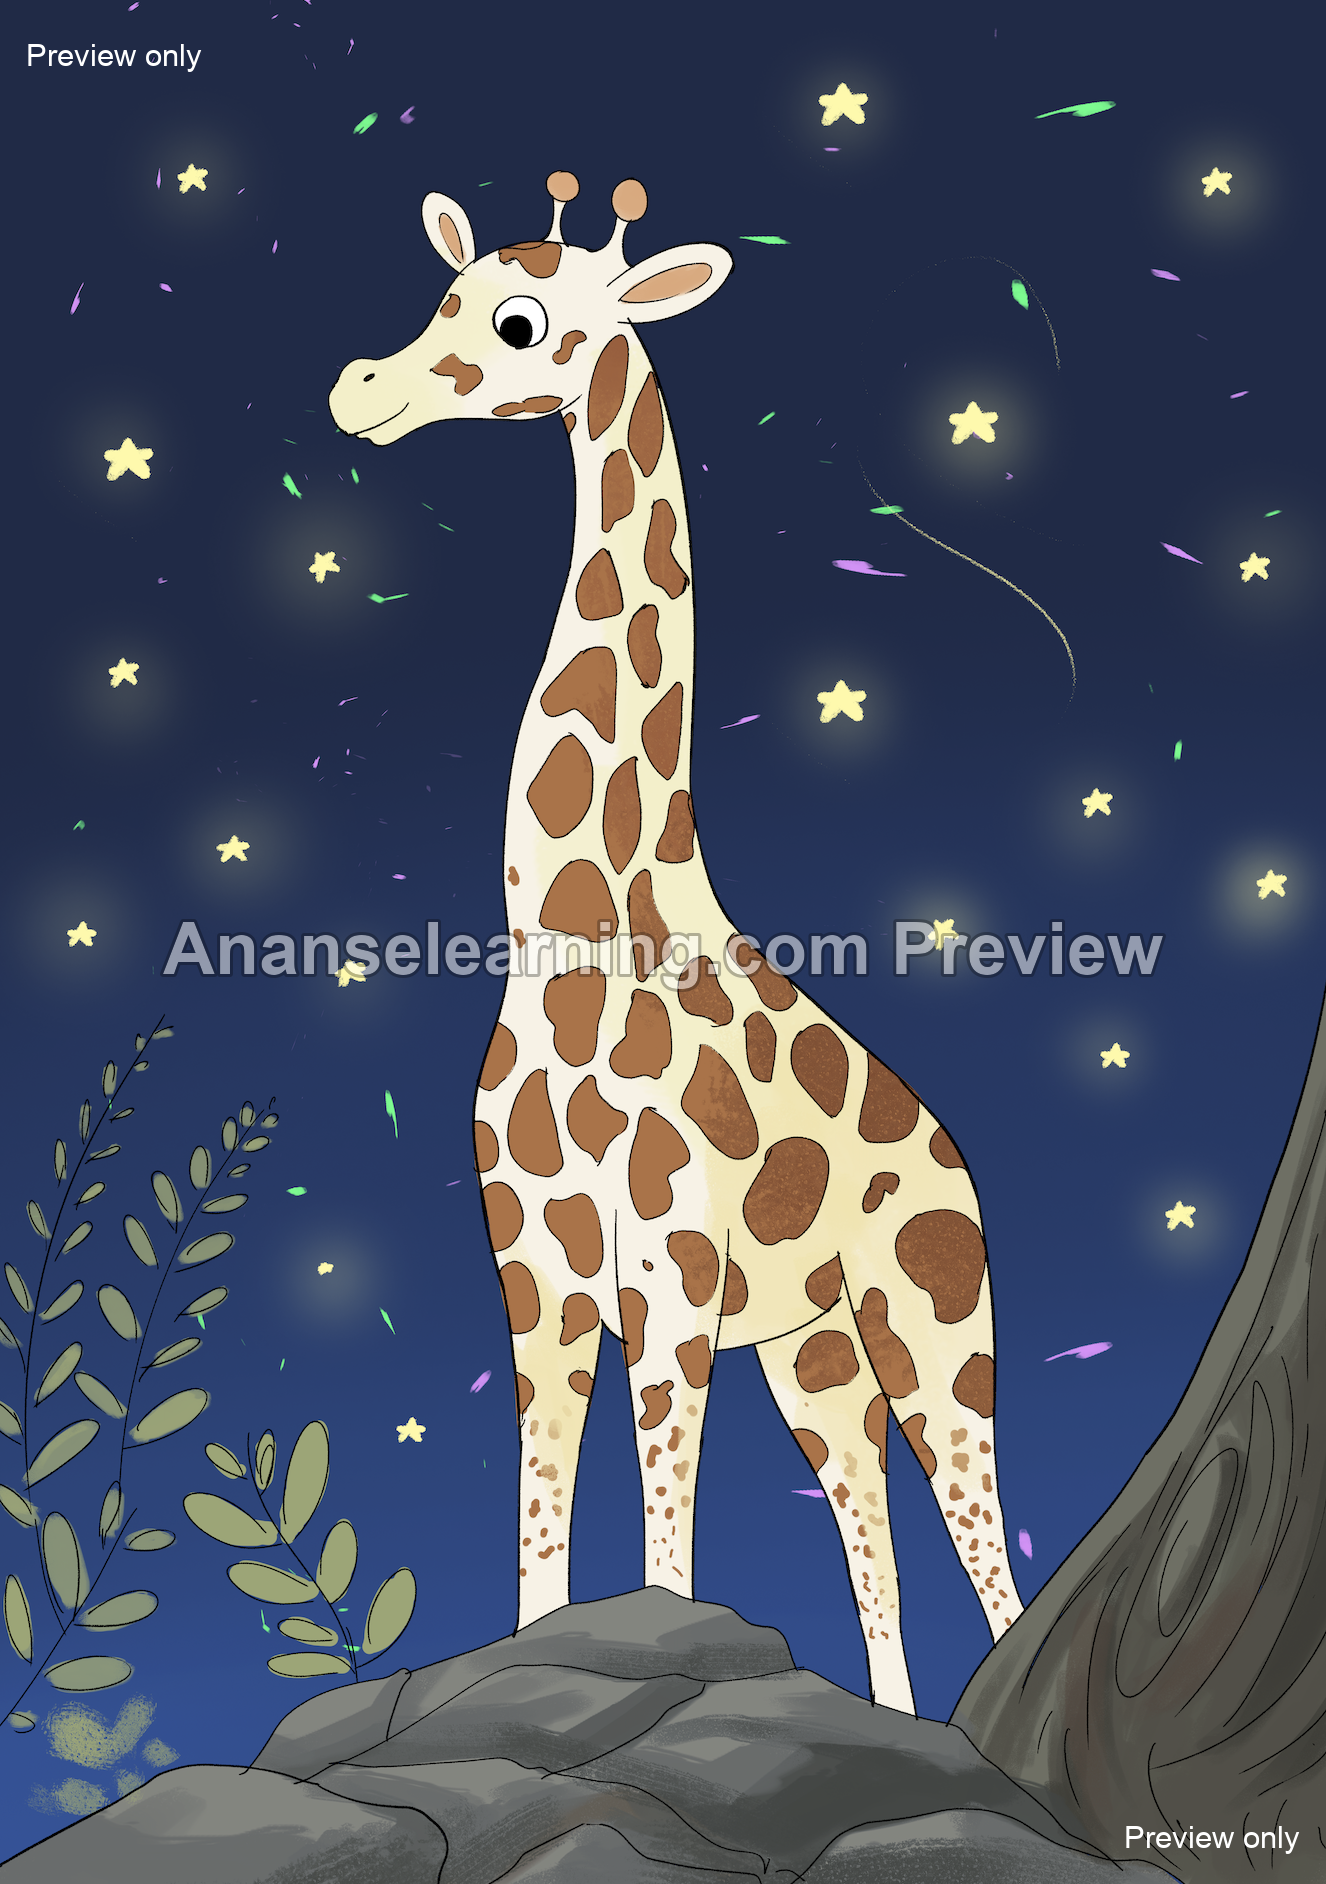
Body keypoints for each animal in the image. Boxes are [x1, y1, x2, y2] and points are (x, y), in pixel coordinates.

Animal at [329, 172, 1024, 1713]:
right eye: (446, 293)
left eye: (521, 323)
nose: (360, 390)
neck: (569, 940)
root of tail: (954, 1154)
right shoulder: (535, 1273)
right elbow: (539, 1534)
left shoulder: (669, 1275)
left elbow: (663, 1545)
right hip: (817, 1353)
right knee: (872, 1538)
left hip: (933, 1323)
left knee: (985, 1543)